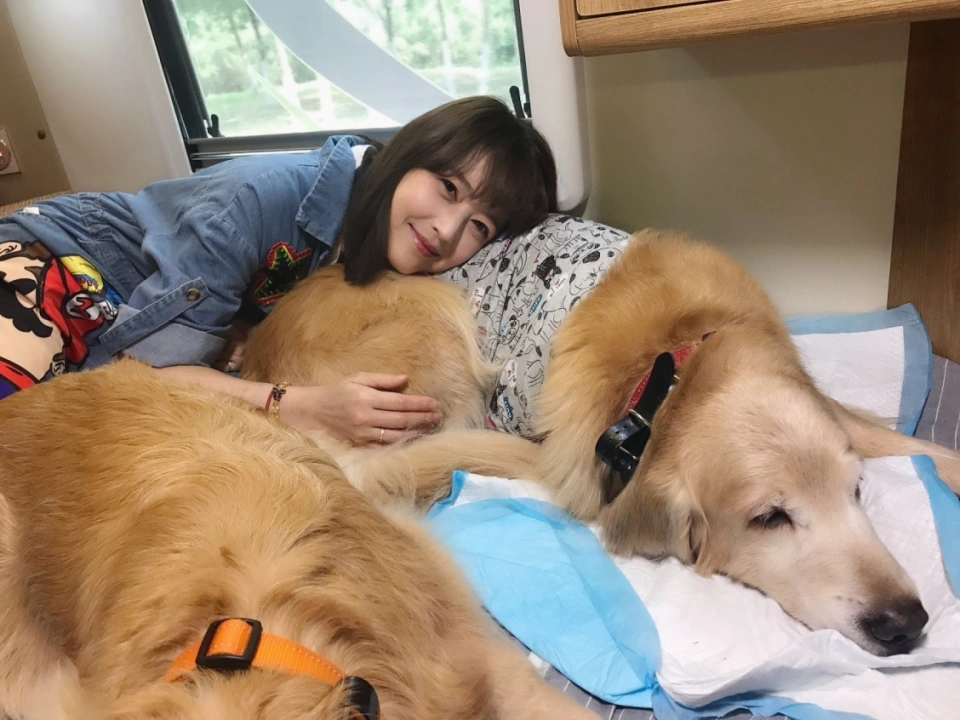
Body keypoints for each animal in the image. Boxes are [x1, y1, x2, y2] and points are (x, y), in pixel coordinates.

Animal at [243, 230, 960, 657]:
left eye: (857, 491)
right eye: (769, 518)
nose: (906, 621)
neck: (674, 364)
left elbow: (925, 451)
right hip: (435, 327)